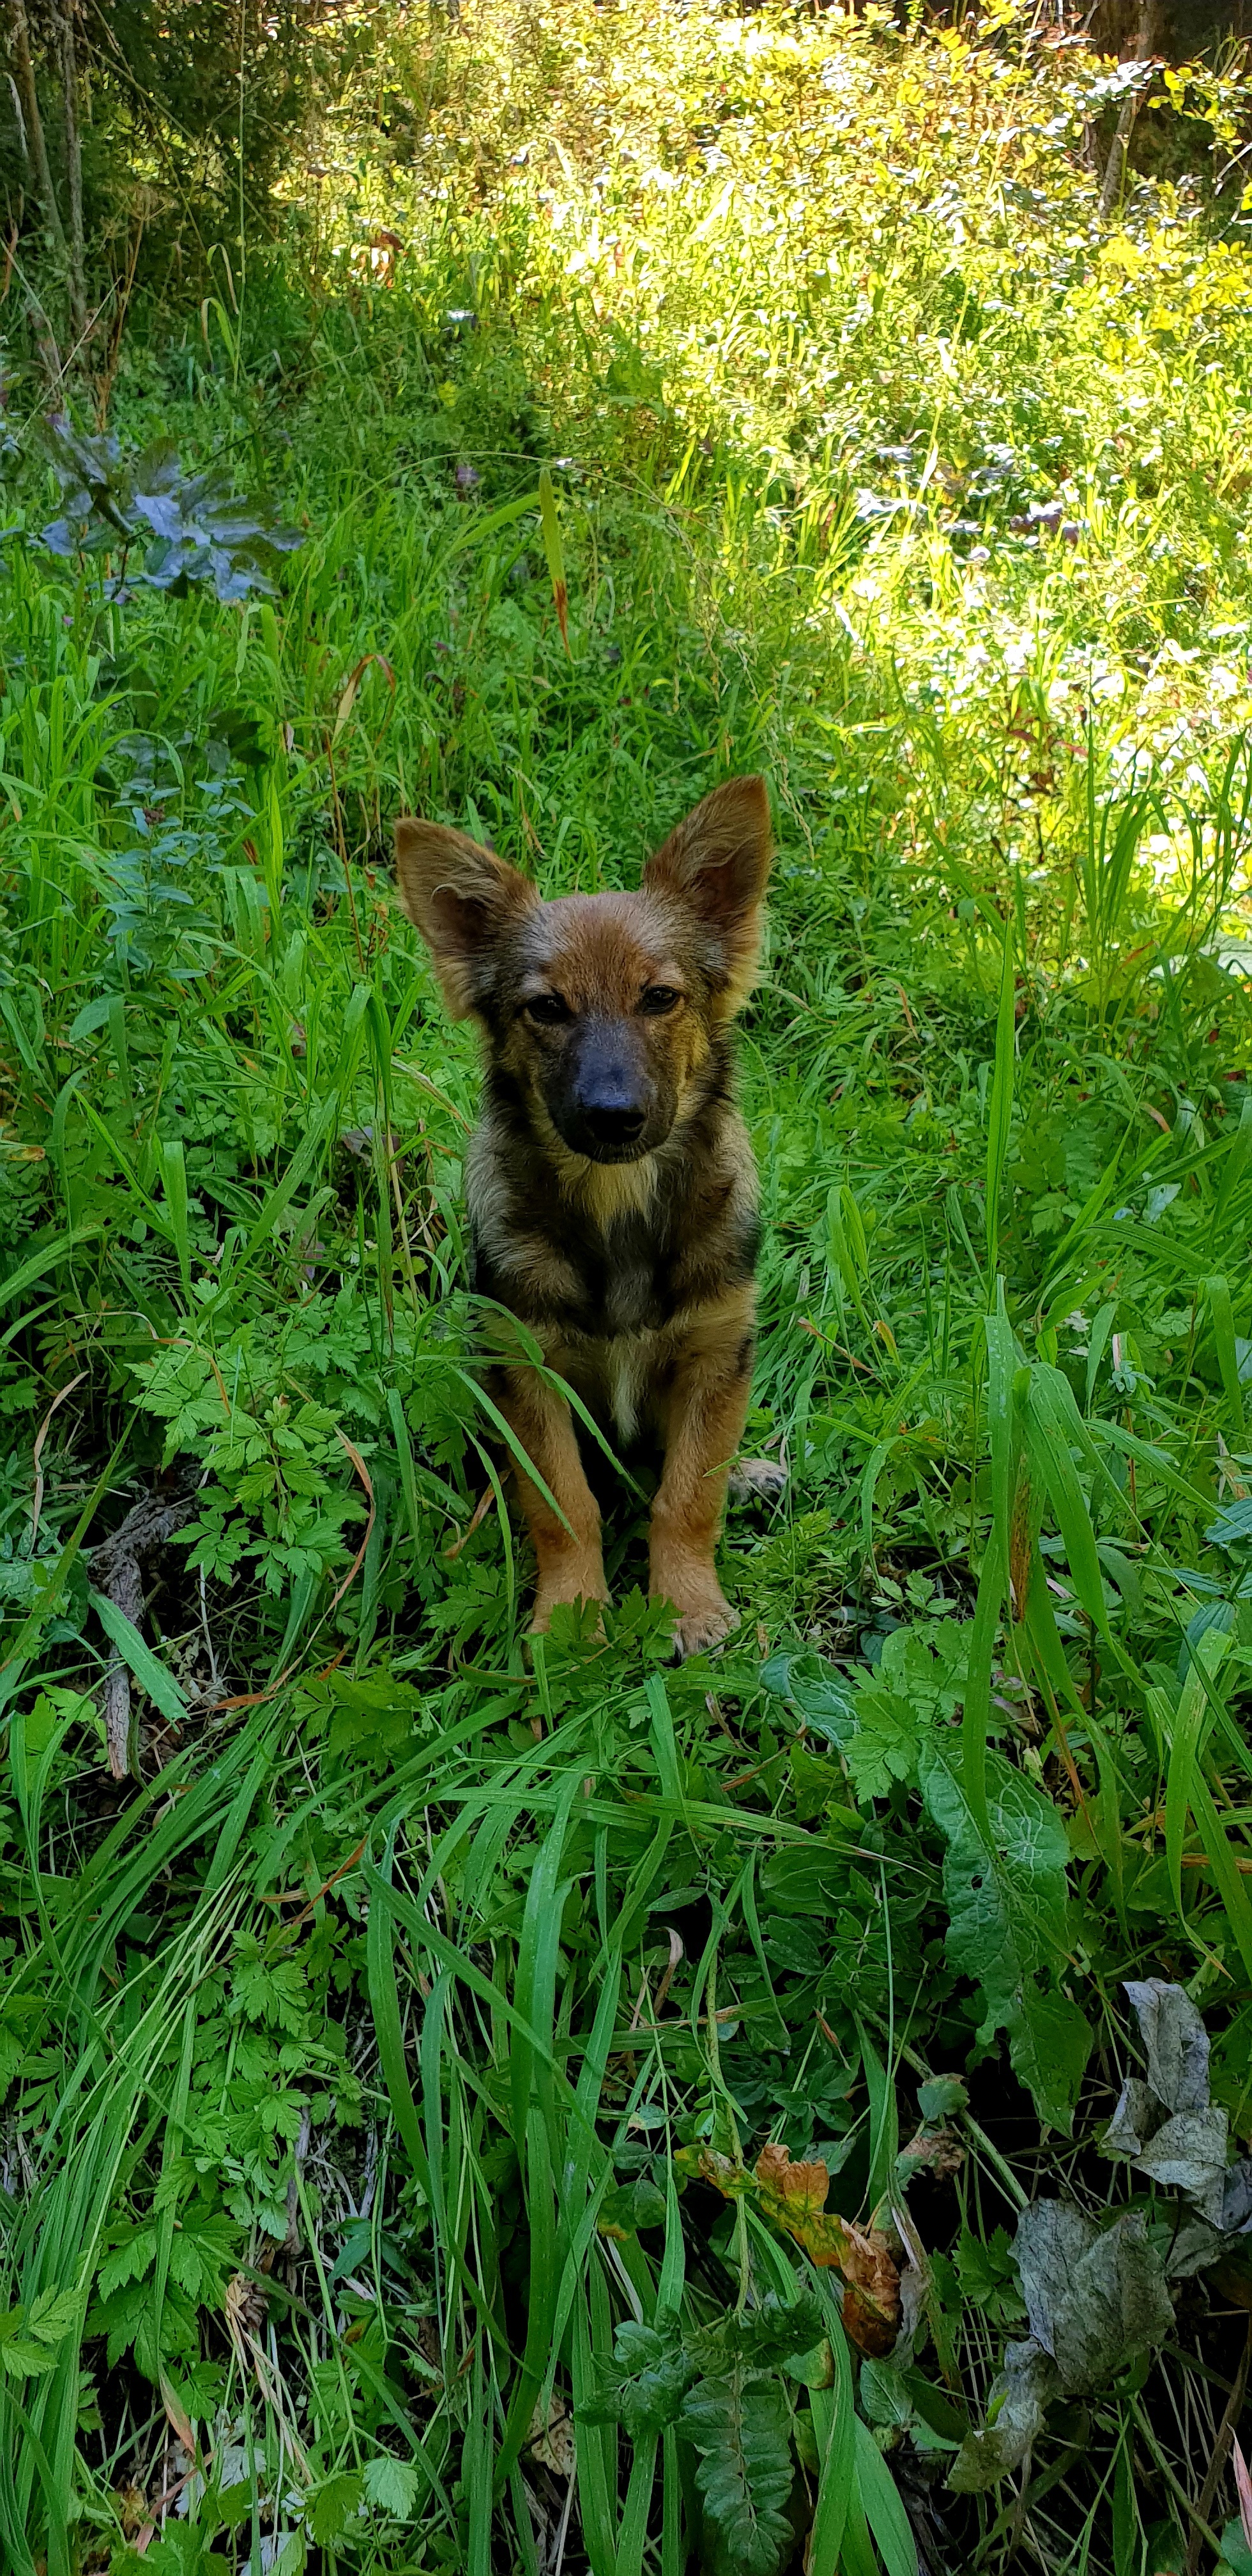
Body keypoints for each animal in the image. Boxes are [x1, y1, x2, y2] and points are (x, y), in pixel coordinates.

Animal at [397, 772, 777, 1648]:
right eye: (546, 1009)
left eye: (660, 998)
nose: (613, 1119)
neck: (619, 1207)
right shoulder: (528, 1370)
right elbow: (563, 1504)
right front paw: (572, 1620)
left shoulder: (716, 1351)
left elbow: (687, 1494)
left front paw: (689, 1606)